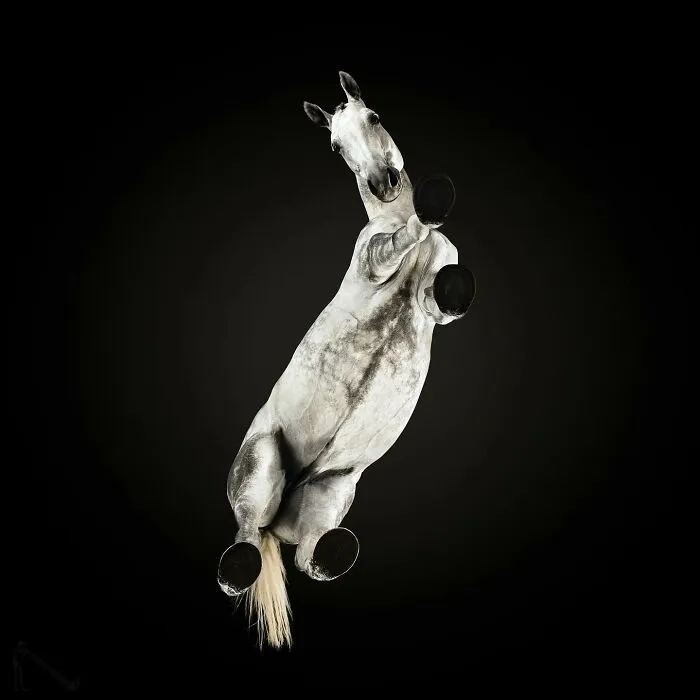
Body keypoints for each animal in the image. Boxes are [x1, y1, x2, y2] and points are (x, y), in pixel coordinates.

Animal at [217, 71, 476, 649]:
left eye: (374, 117)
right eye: (336, 146)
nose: (383, 181)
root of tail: (281, 516)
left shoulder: (435, 301)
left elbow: (447, 296)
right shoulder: (373, 261)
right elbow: (398, 241)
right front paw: (429, 207)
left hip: (333, 489)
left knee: (311, 554)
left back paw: (336, 552)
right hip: (262, 463)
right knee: (246, 529)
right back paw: (237, 565)